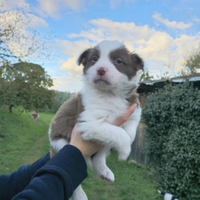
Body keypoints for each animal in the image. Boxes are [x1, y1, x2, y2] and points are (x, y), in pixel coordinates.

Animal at [49, 40, 145, 200]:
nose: (101, 70)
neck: (110, 94)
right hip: (61, 145)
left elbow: (130, 131)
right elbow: (121, 134)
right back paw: (80, 195)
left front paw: (127, 145)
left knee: (98, 158)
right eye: (94, 59)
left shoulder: (133, 110)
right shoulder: (90, 123)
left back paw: (104, 171)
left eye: (118, 61)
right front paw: (124, 153)